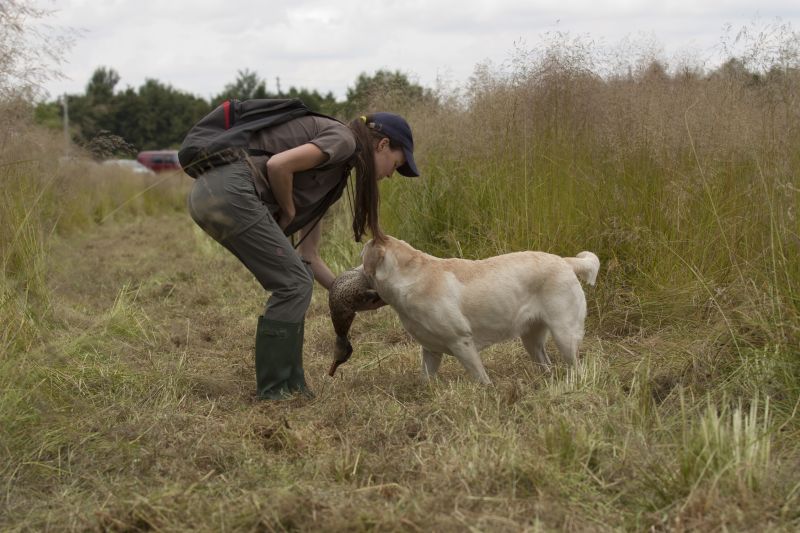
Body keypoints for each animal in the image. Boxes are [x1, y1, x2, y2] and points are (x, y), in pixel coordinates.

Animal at [362, 236, 600, 382]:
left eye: (362, 254)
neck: (411, 278)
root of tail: (565, 261)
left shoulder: (462, 342)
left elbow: (481, 378)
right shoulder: (431, 350)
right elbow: (426, 378)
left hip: (564, 335)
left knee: (576, 365)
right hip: (532, 339)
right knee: (546, 363)